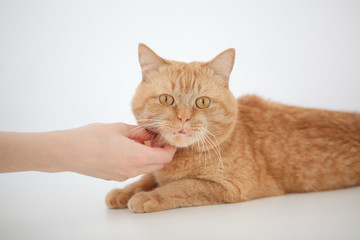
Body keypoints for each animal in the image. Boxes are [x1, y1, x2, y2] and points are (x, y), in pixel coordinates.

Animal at [105, 44, 360, 213]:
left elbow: (181, 186)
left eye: (202, 102)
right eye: (166, 99)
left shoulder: (231, 186)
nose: (183, 118)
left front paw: (146, 197)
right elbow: (147, 178)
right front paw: (123, 192)